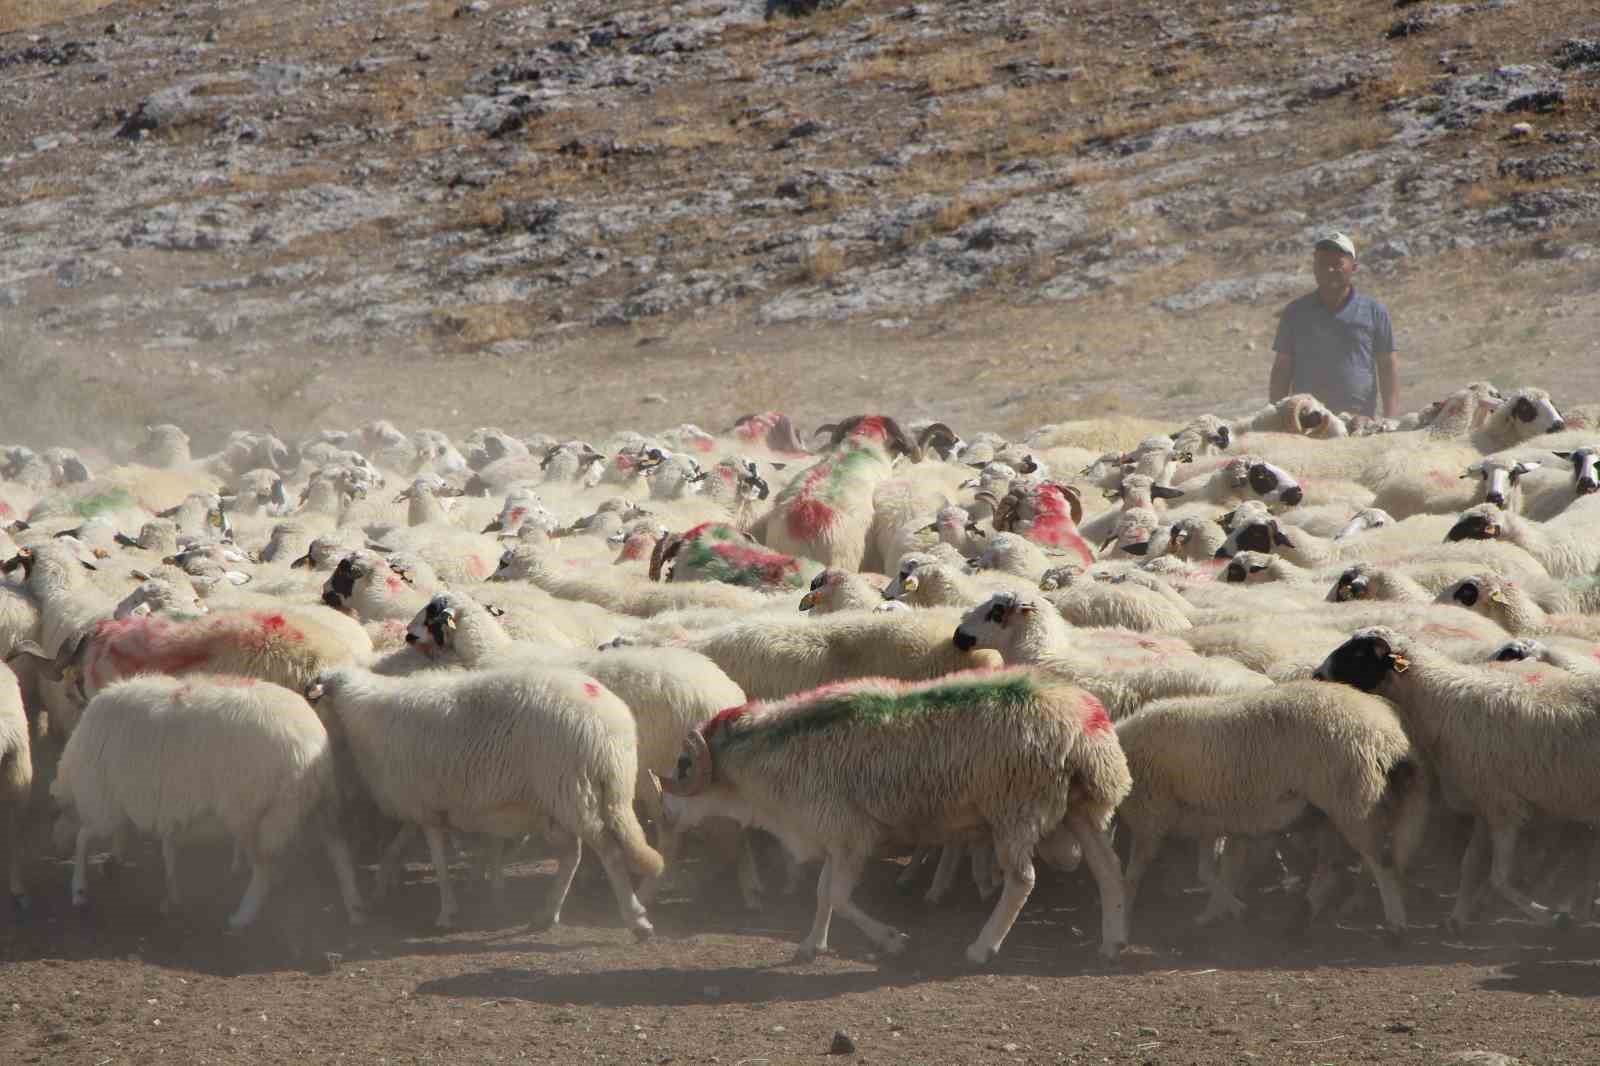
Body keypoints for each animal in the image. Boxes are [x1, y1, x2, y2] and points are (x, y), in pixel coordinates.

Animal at [51, 675, 364, 928]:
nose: (55, 851)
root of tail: (312, 744)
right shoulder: (161, 805)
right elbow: (168, 850)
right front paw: (170, 894)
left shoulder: (106, 801)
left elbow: (83, 838)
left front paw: (79, 890)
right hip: (319, 803)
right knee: (339, 851)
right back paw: (354, 907)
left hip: (256, 815)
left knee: (265, 870)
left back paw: (242, 916)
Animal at [305, 656, 662, 928]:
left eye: (318, 696)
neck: (361, 713)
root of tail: (611, 727)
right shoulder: (421, 804)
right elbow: (397, 846)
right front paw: (380, 887)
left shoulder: (426, 807)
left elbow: (438, 861)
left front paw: (447, 912)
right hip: (569, 799)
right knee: (573, 854)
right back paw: (547, 914)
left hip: (574, 790)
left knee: (608, 852)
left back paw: (636, 920)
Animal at [656, 669, 1132, 960]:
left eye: (683, 764)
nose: (665, 815)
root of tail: (1085, 726)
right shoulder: (835, 837)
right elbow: (823, 893)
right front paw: (812, 945)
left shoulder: (851, 836)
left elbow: (838, 896)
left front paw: (892, 940)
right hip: (1079, 810)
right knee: (1109, 869)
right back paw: (1113, 941)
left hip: (1015, 810)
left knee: (1022, 880)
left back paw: (982, 948)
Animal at [1113, 681, 1427, 941]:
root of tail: (1389, 736)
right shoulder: (1212, 820)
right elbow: (1209, 872)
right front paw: (1217, 913)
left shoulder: (1151, 819)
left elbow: (1132, 878)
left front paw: (1123, 921)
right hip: (1333, 812)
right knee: (1334, 868)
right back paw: (1304, 916)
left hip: (1355, 803)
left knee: (1381, 864)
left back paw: (1395, 925)